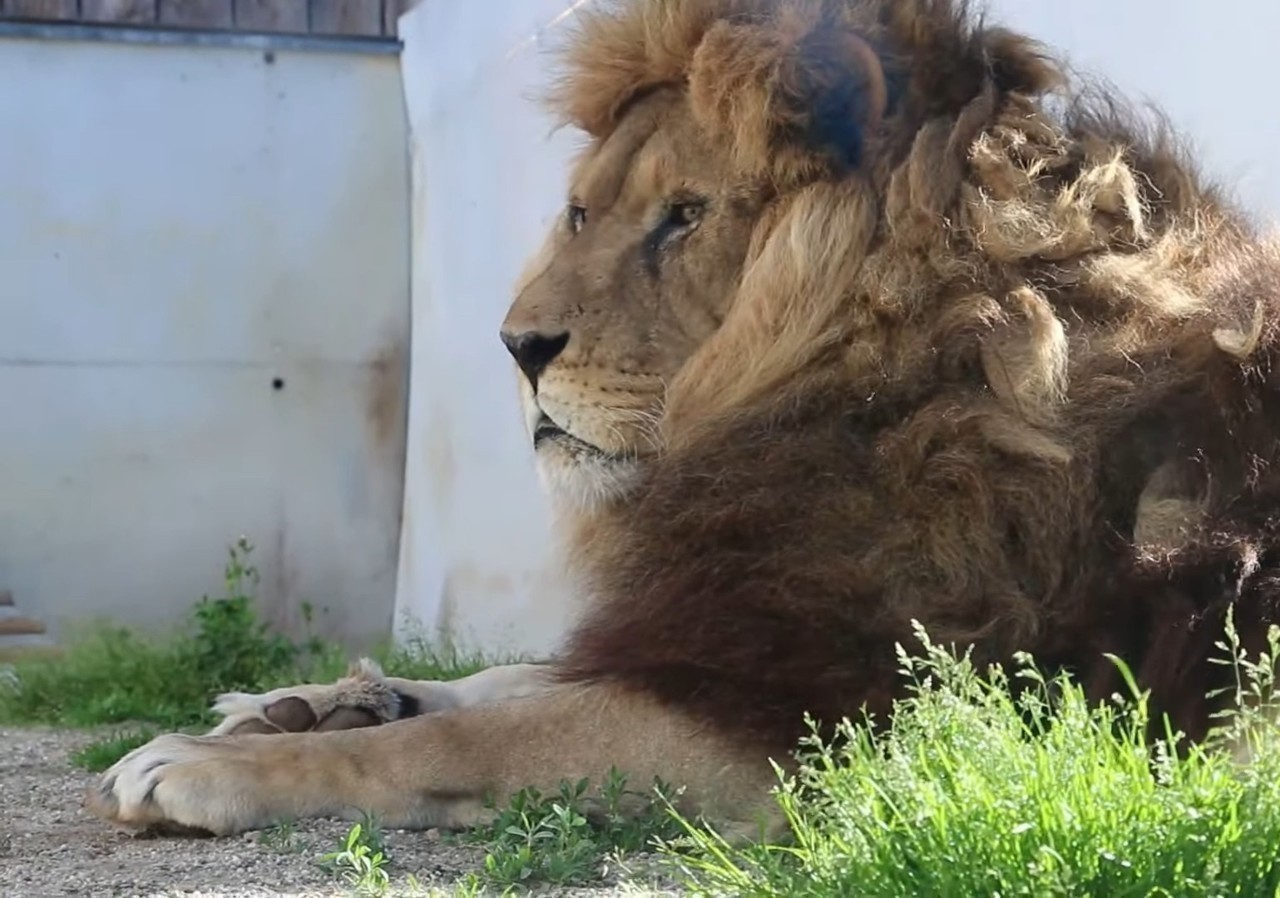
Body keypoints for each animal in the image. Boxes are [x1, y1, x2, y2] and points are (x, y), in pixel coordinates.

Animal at [86, 0, 1280, 840]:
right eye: (580, 213)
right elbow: (504, 676)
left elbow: (481, 733)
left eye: (686, 217)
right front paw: (299, 698)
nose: (516, 346)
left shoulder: (825, 718)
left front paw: (221, 762)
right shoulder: (704, 620)